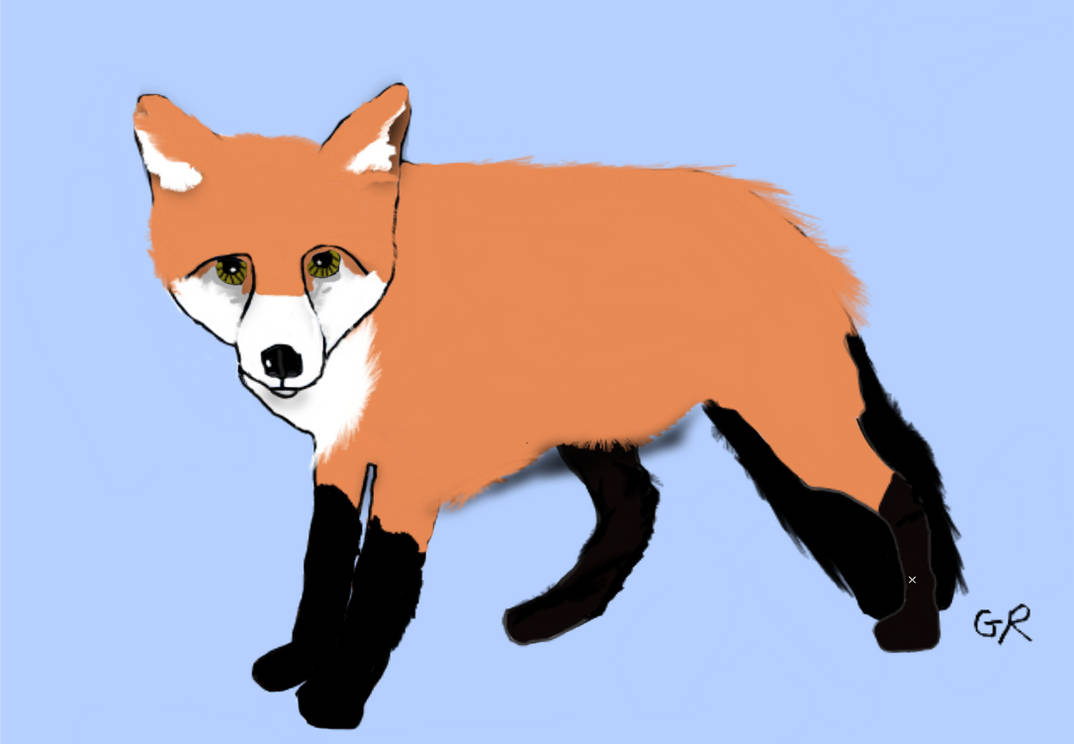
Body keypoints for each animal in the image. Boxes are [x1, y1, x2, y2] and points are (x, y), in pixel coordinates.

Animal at [133, 83, 966, 729]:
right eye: (232, 269)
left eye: (324, 262)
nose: (283, 361)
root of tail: (782, 219)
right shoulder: (337, 453)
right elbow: (321, 566)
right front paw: (302, 661)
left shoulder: (410, 469)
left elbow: (377, 590)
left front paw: (338, 699)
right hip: (592, 426)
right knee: (639, 504)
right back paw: (555, 619)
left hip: (791, 425)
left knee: (897, 484)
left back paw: (913, 624)